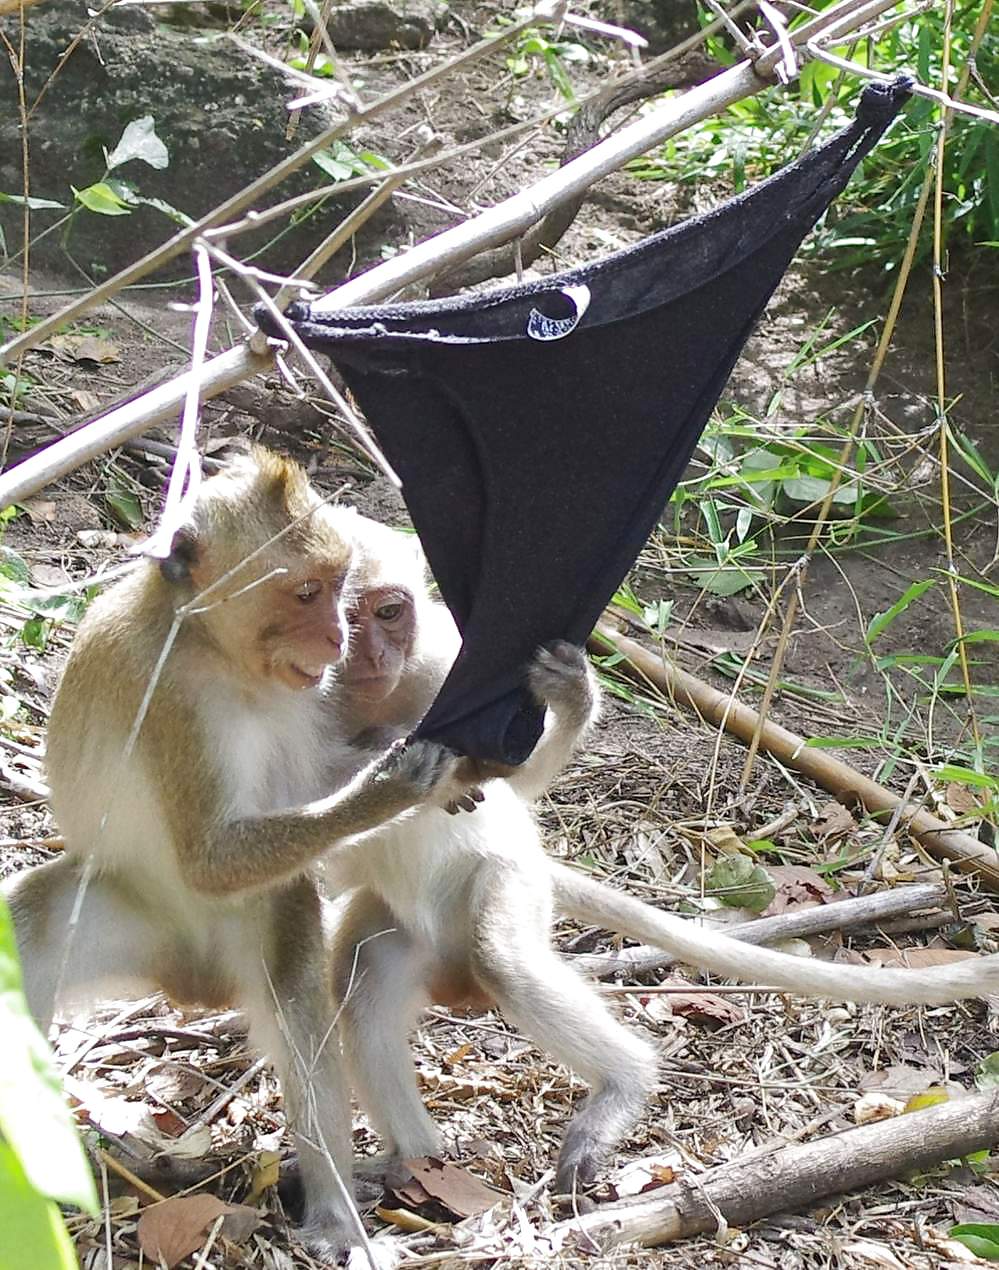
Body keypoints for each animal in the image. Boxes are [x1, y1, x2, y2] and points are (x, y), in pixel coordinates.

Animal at [2, 450, 470, 1265]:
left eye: (340, 591)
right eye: (307, 592)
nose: (336, 640)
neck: (210, 646)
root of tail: (187, 976)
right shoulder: (174, 702)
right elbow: (208, 861)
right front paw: (388, 789)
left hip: (249, 925)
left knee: (297, 989)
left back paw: (334, 1207)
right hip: (119, 906)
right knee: (29, 923)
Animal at [318, 508, 999, 1195]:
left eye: (388, 612)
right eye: (344, 616)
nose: (371, 653)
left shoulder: (442, 661)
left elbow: (511, 783)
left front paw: (567, 701)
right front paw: (384, 778)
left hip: (506, 883)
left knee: (499, 958)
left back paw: (621, 1084)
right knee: (361, 979)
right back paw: (412, 1159)